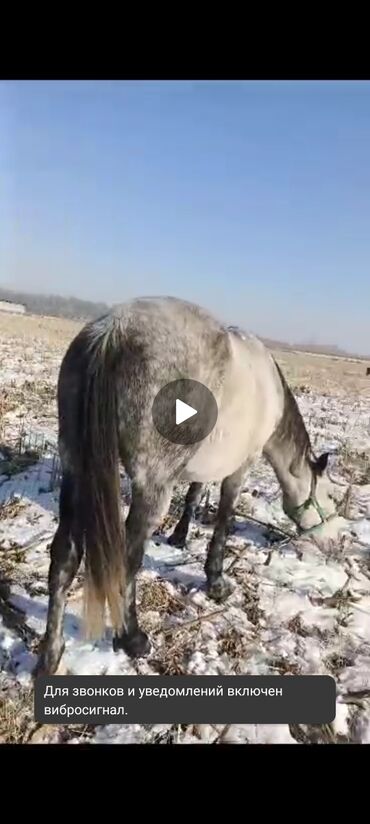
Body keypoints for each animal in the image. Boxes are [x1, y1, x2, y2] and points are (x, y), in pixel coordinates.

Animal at [35, 296, 338, 676]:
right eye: (327, 496)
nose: (333, 541)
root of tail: (113, 332)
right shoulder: (241, 466)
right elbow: (224, 518)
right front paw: (216, 582)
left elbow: (195, 493)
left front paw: (179, 537)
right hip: (152, 487)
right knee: (128, 557)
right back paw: (132, 639)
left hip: (75, 467)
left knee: (64, 556)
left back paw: (50, 655)